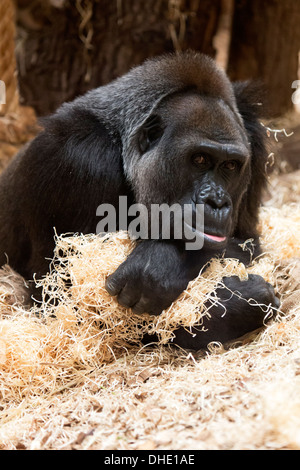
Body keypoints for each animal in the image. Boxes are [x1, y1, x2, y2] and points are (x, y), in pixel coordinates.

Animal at [0, 52, 278, 348]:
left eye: (230, 165)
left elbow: (248, 244)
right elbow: (68, 305)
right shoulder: (75, 157)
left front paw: (163, 266)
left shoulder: (252, 135)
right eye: (200, 159)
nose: (216, 201)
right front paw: (236, 303)